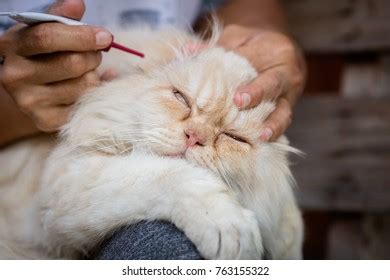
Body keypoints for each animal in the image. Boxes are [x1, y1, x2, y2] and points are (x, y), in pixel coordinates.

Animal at [0, 25, 304, 260]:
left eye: (233, 137)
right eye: (181, 98)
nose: (194, 137)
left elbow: (290, 231)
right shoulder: (64, 186)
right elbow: (174, 178)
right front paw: (230, 231)